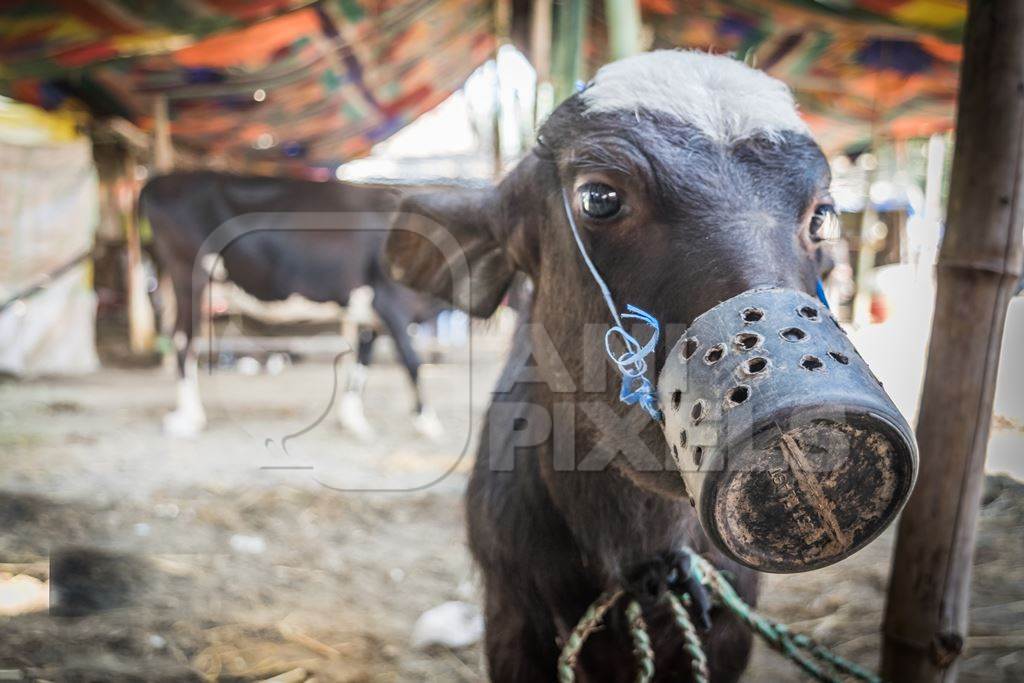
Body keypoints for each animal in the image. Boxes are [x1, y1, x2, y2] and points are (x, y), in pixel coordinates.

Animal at [142, 171, 446, 438]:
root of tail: (160, 181)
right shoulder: (393, 301)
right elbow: (412, 360)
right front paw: (428, 422)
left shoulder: (370, 310)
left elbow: (362, 363)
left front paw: (353, 420)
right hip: (188, 273)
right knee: (184, 338)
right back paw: (190, 418)